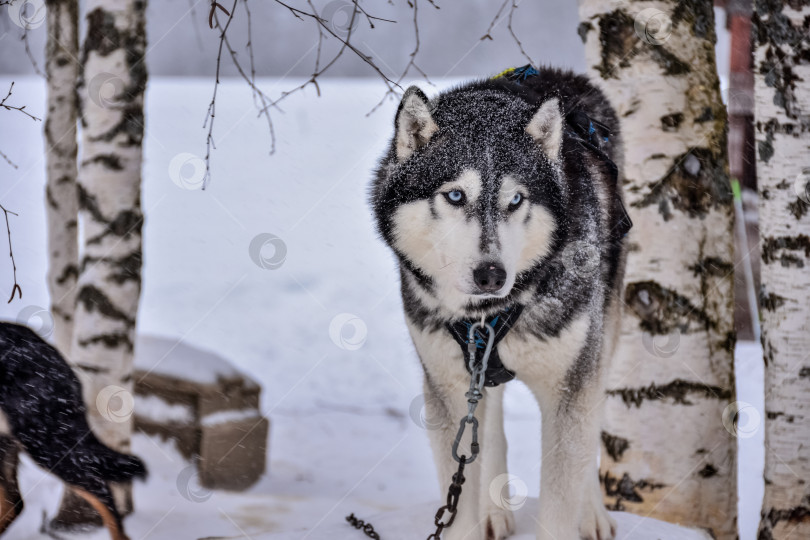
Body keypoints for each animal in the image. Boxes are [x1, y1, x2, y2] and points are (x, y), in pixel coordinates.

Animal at [372, 68, 632, 540]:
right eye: (455, 196)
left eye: (515, 199)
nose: (491, 275)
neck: (486, 317)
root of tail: (562, 75)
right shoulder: (448, 384)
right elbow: (460, 497)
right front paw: (477, 518)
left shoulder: (569, 386)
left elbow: (563, 494)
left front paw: (575, 515)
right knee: (487, 428)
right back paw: (493, 511)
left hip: (601, 340)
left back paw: (592, 514)